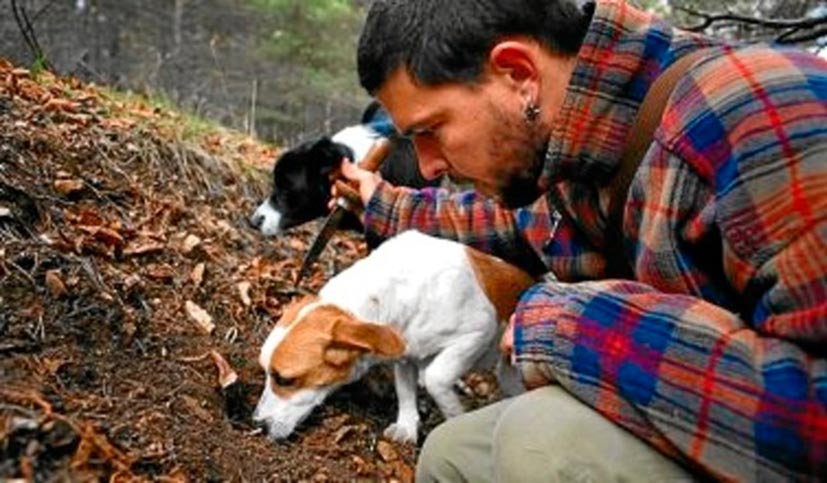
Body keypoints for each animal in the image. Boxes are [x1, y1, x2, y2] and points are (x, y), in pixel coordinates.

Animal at [254, 231, 536, 442]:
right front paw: (408, 426)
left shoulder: (477, 332)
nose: (257, 425)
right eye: (266, 374)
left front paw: (454, 415)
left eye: (286, 380)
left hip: (510, 373)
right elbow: (405, 391)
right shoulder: (404, 354)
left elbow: (436, 379)